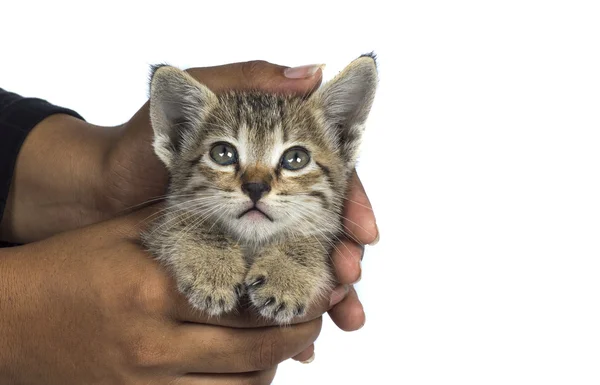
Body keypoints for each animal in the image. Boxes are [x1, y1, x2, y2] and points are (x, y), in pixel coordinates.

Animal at [143, 54, 378, 324]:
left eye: (296, 158)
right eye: (222, 153)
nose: (255, 187)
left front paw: (286, 274)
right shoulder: (159, 229)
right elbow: (181, 223)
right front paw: (213, 267)